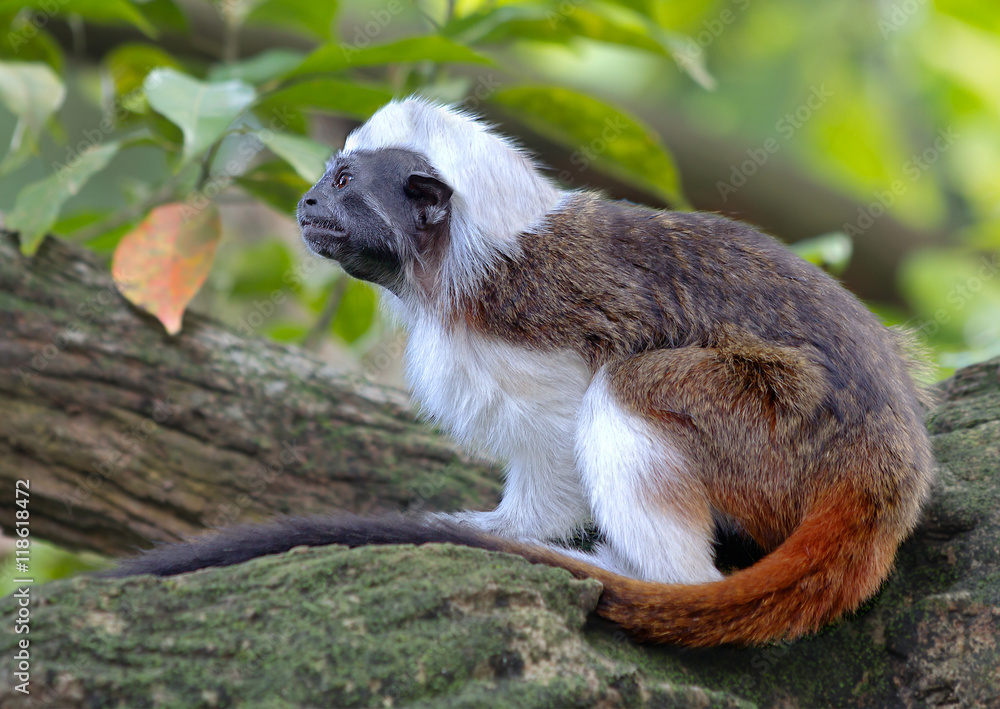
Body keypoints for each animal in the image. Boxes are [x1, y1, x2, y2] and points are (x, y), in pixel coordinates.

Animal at [107, 97, 935, 648]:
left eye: (343, 184)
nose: (307, 201)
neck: (466, 260)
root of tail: (883, 460)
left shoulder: (530, 331)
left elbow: (564, 426)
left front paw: (509, 532)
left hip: (778, 432)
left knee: (628, 391)